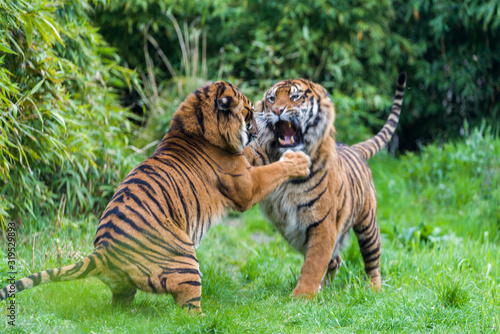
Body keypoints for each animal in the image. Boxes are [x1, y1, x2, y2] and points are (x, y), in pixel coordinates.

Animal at [0, 81, 312, 314]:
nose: (258, 125)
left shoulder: (246, 164)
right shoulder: (245, 185)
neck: (199, 127)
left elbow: (259, 153)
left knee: (120, 305)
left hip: (126, 285)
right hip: (186, 263)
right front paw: (297, 161)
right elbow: (270, 169)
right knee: (187, 312)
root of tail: (104, 252)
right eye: (247, 112)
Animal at [245, 73, 406, 298]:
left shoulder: (322, 223)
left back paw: (373, 289)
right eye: (271, 99)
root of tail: (354, 148)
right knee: (335, 259)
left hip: (368, 225)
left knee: (372, 260)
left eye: (295, 97)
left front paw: (301, 297)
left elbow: (313, 265)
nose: (277, 111)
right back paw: (325, 289)